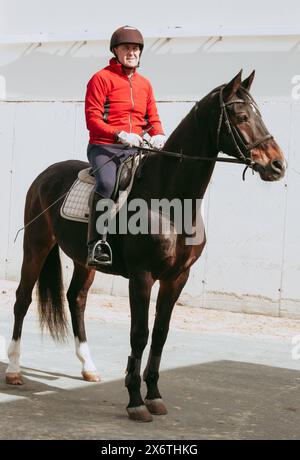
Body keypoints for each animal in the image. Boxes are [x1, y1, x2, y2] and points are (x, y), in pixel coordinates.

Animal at [5, 69, 286, 420]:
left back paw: (88, 367)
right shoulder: (142, 276)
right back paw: (14, 370)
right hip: (36, 246)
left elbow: (161, 335)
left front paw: (153, 395)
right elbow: (139, 335)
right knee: (22, 299)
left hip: (85, 261)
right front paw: (136, 401)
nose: (278, 165)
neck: (171, 203)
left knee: (76, 299)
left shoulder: (177, 278)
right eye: (242, 116)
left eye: (259, 113)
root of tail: (46, 174)